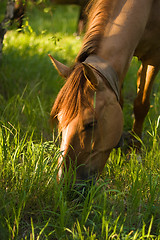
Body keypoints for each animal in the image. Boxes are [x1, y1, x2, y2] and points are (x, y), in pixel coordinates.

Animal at [49, 0, 159, 180]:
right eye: (59, 119)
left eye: (91, 123)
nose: (64, 181)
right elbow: (120, 102)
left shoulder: (153, 59)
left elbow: (141, 105)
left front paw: (135, 153)